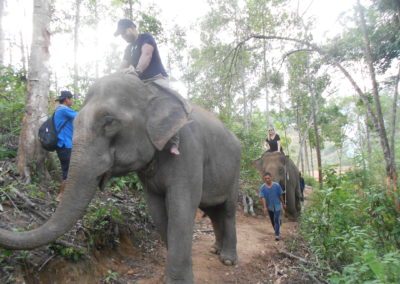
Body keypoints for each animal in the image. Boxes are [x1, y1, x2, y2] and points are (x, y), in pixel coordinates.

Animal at [0, 74, 241, 284]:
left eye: (109, 121)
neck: (150, 90)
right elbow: (158, 212)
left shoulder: (189, 151)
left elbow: (181, 209)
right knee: (213, 211)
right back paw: (216, 249)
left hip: (235, 173)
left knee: (228, 210)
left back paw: (228, 260)